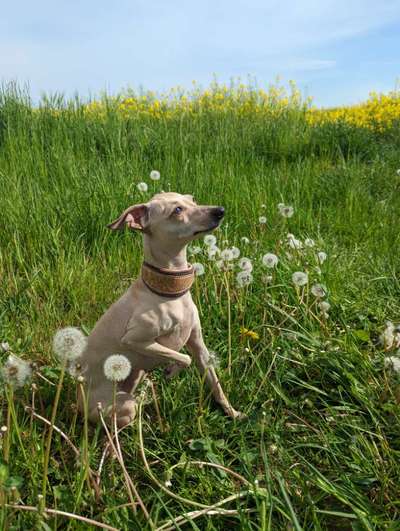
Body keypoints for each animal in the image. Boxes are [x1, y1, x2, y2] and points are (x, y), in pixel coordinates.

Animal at [78, 192, 241, 428]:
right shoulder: (135, 340)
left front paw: (233, 414)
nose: (220, 211)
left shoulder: (198, 345)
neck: (169, 293)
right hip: (123, 405)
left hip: (134, 378)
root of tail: (78, 403)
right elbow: (183, 358)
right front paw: (171, 370)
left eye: (192, 199)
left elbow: (215, 384)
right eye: (177, 210)